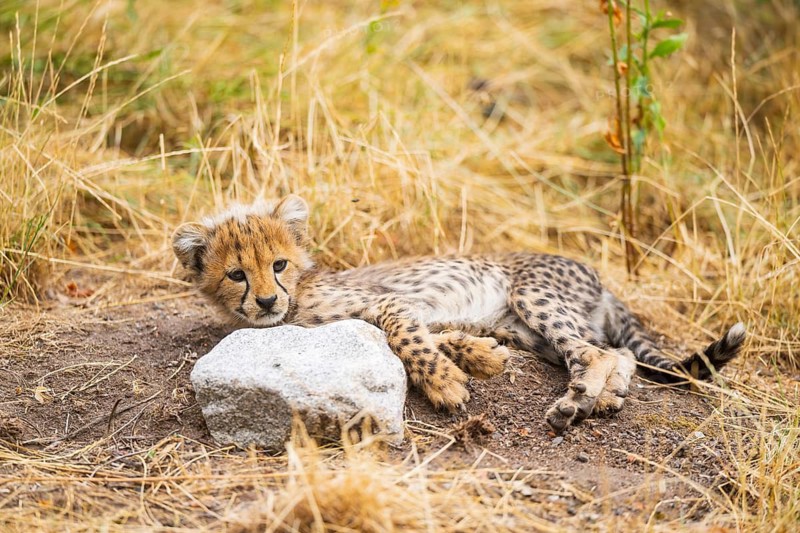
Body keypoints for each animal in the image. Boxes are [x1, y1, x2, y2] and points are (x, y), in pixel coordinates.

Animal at [173, 194, 746, 433]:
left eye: (279, 265)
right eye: (236, 275)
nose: (268, 301)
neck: (297, 302)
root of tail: (597, 276)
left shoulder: (391, 304)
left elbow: (407, 336)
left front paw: (446, 383)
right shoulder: (415, 313)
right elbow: (437, 335)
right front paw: (480, 358)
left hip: (532, 297)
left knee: (603, 352)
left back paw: (579, 399)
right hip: (526, 329)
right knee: (610, 353)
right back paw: (595, 399)